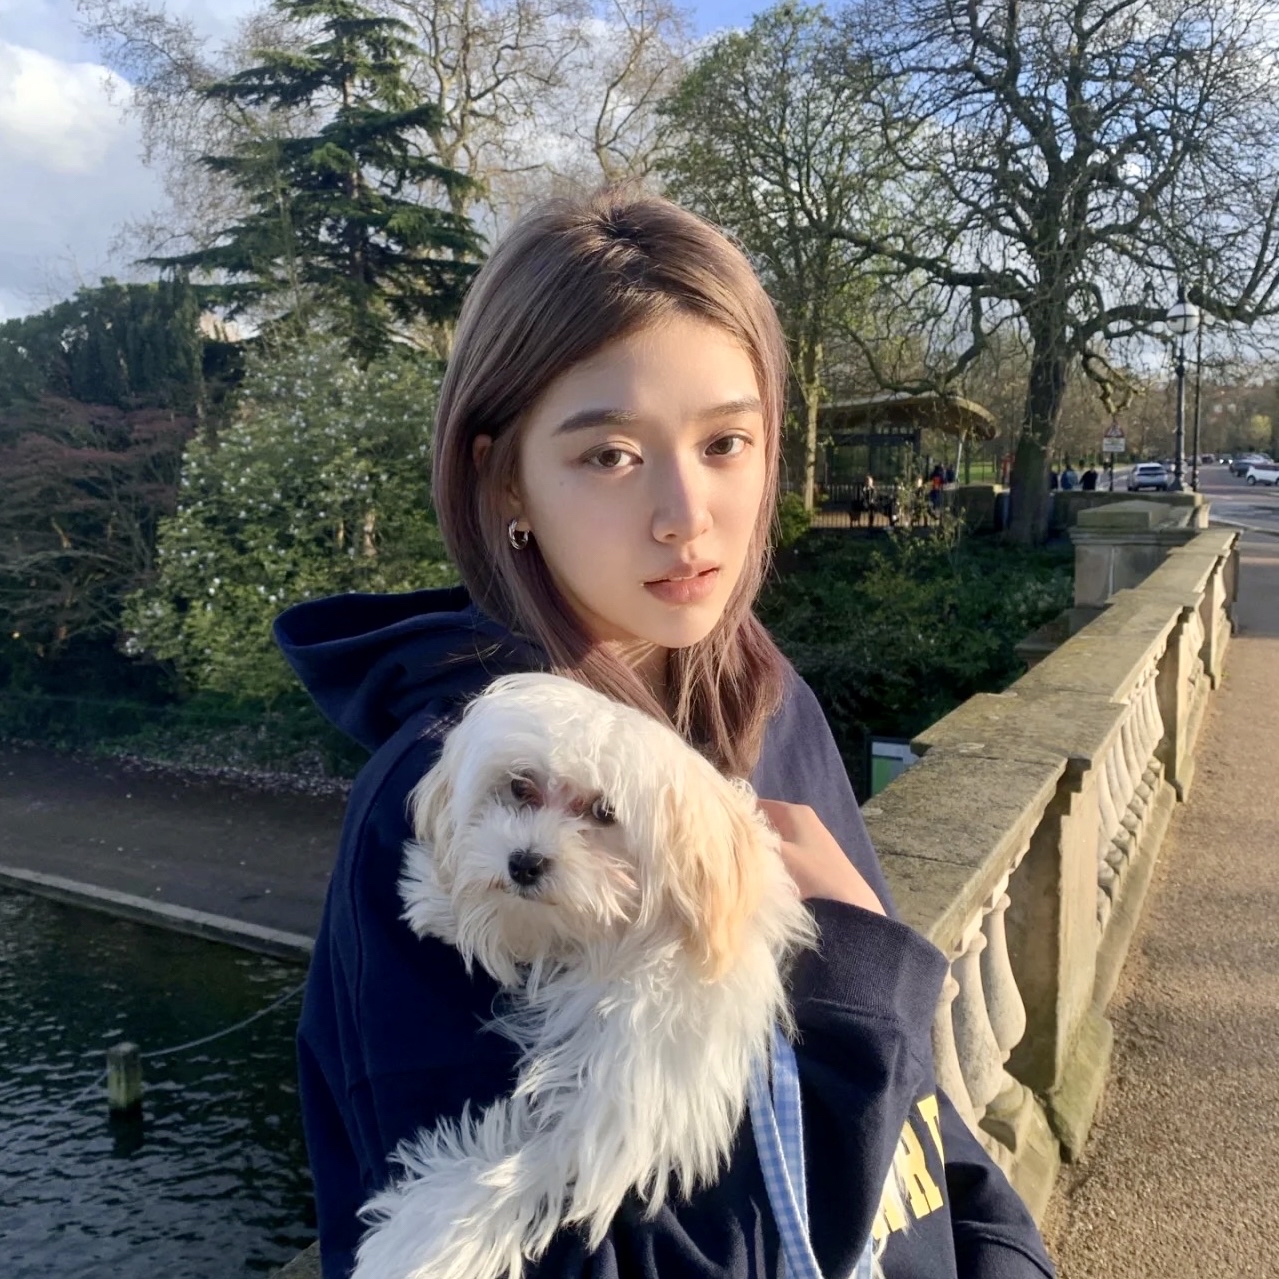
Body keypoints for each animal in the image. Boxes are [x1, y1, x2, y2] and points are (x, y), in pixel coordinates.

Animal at [349, 671, 819, 1279]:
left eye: (604, 813)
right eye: (520, 787)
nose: (524, 862)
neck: (622, 939)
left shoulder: (626, 1095)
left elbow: (530, 1163)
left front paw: (427, 1243)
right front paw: (436, 894)